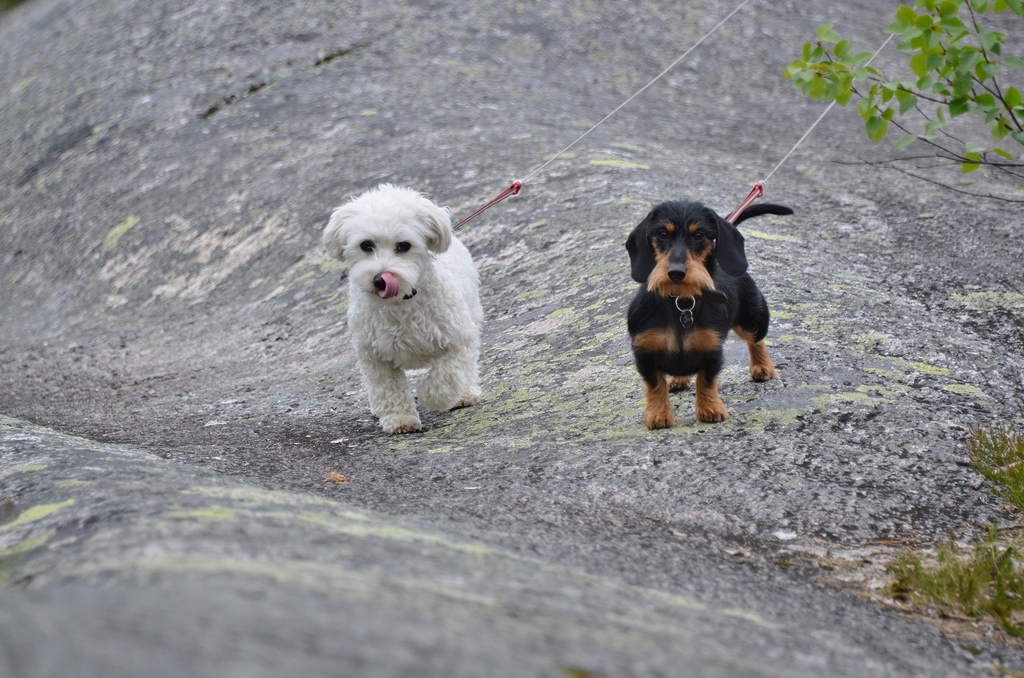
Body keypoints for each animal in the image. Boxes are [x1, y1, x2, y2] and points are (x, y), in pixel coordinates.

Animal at [319, 184, 483, 436]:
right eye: (366, 245)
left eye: (404, 246)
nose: (380, 280)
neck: (400, 302)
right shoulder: (373, 355)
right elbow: (388, 388)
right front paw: (400, 418)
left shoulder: (457, 338)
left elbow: (447, 376)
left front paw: (431, 397)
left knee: (469, 366)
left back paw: (465, 393)